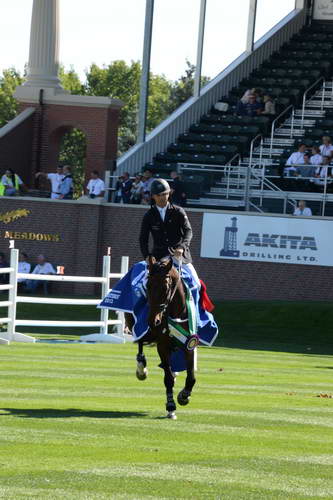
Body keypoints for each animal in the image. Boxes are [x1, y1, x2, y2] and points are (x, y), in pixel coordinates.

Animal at [126, 256, 196, 420]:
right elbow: (168, 379)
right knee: (140, 344)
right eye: (148, 285)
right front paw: (171, 406)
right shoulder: (162, 346)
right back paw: (141, 369)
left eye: (165, 287)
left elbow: (191, 376)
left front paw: (184, 396)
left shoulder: (189, 343)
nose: (153, 321)